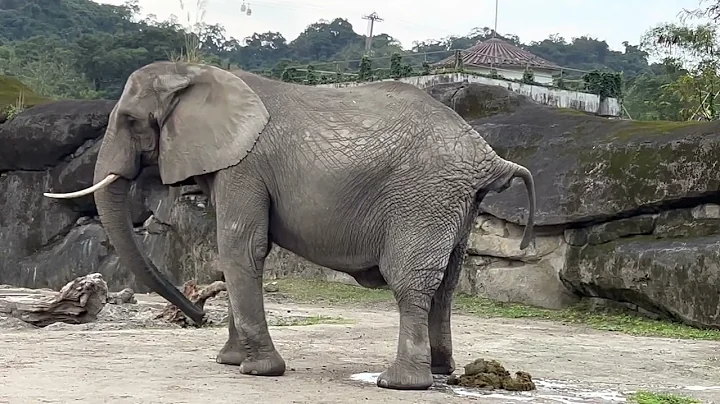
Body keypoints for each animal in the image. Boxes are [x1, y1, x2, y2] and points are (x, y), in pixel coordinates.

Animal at [40, 60, 536, 392]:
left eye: (129, 120)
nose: (198, 317)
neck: (200, 74)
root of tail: (487, 155)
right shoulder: (234, 165)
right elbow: (238, 253)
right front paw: (228, 361)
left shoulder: (244, 165)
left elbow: (239, 248)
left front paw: (257, 371)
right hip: (456, 202)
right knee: (447, 281)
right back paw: (439, 372)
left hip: (423, 196)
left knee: (411, 280)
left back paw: (398, 383)